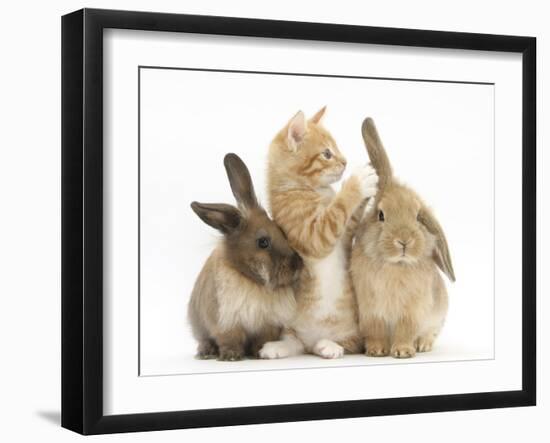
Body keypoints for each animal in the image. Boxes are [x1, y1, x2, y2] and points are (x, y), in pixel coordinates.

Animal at [188, 153, 304, 360]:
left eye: (281, 231)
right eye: (263, 242)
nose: (298, 264)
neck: (252, 281)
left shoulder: (267, 325)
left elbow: (262, 340)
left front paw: (258, 353)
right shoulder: (226, 323)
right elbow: (229, 339)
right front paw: (231, 356)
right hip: (199, 326)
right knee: (204, 340)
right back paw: (206, 353)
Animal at [260, 108, 380, 360]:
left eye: (337, 149)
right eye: (327, 154)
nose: (345, 162)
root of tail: (312, 340)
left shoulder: (346, 233)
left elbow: (351, 216)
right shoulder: (313, 233)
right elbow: (337, 210)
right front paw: (357, 182)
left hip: (353, 328)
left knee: (348, 343)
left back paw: (328, 345)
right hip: (291, 325)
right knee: (296, 343)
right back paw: (279, 346)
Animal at [354, 119, 458, 360]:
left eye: (418, 216)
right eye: (381, 215)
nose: (404, 241)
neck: (395, 265)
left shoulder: (411, 311)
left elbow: (405, 331)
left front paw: (402, 351)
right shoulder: (370, 311)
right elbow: (375, 331)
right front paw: (376, 351)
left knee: (429, 334)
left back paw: (423, 345)